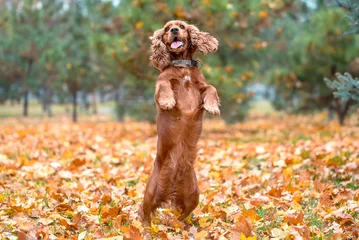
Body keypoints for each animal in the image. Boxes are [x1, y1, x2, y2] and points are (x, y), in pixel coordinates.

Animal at [139, 19, 221, 226]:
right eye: (167, 29)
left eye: (182, 26)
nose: (174, 30)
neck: (182, 68)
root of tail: (171, 191)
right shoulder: (161, 84)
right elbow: (164, 85)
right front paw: (168, 101)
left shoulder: (202, 86)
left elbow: (212, 88)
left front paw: (212, 106)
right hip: (150, 191)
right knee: (145, 212)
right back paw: (145, 228)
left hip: (194, 194)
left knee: (184, 214)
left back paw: (182, 225)